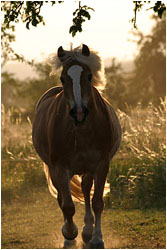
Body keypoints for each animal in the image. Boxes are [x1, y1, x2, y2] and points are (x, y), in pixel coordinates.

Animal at [32, 43, 121, 248]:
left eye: (89, 76)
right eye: (63, 78)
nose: (79, 112)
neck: (82, 130)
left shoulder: (101, 165)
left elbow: (97, 202)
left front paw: (97, 238)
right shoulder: (60, 168)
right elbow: (67, 205)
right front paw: (70, 233)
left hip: (87, 169)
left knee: (86, 190)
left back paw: (87, 231)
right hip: (55, 170)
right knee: (62, 197)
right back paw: (71, 233)